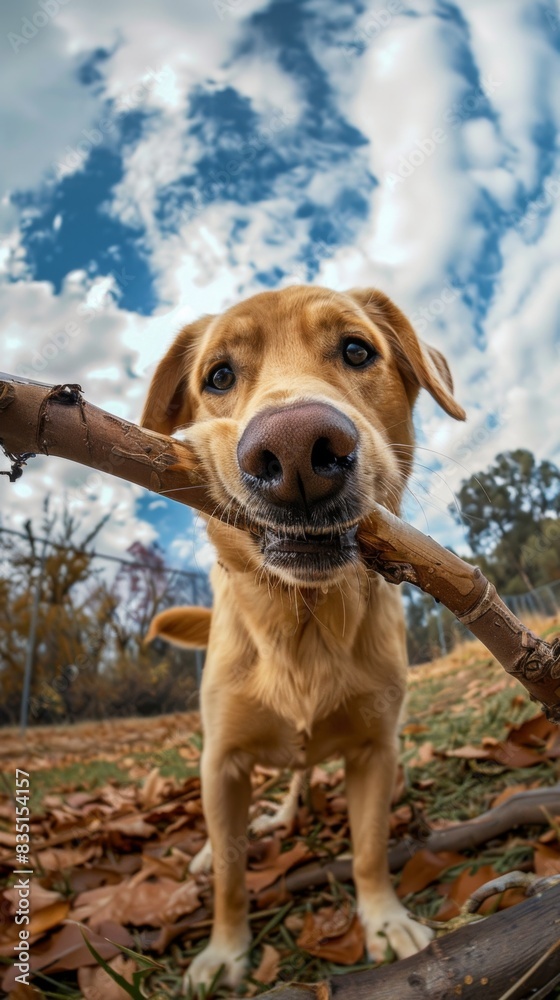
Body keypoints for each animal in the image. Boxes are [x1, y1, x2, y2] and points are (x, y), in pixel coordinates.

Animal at [142, 286, 466, 988]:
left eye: (356, 350)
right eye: (219, 376)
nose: (295, 450)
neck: (304, 621)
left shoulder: (374, 752)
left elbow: (369, 849)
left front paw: (383, 921)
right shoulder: (222, 763)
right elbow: (232, 875)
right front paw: (224, 951)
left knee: (302, 773)